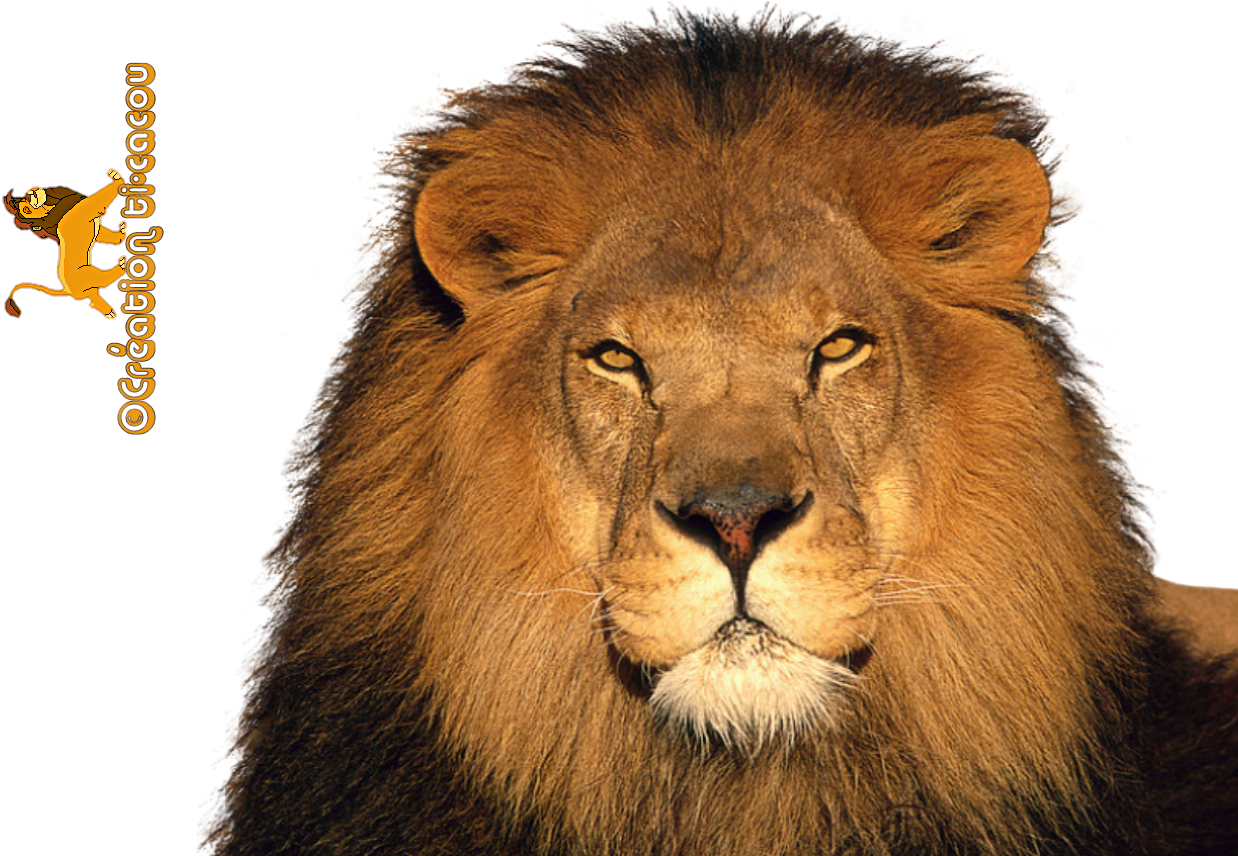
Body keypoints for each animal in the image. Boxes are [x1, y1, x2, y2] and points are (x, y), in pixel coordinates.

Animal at [3, 167, 129, 321]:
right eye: (26, 210)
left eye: (25, 199)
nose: (30, 194)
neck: (51, 209)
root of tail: (67, 290)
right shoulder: (84, 211)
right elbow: (98, 197)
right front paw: (116, 177)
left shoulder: (96, 229)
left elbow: (110, 236)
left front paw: (122, 232)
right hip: (88, 273)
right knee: (104, 278)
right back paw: (122, 265)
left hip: (89, 288)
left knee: (93, 298)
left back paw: (109, 313)